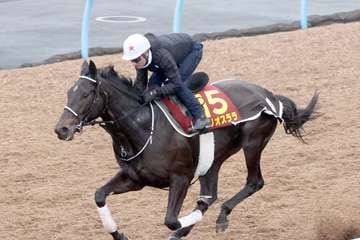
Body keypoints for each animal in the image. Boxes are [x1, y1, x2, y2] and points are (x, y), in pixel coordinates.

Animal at [54, 60, 320, 240]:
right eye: (68, 93)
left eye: (87, 94)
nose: (61, 129)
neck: (143, 126)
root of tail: (270, 96)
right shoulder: (135, 178)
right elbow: (99, 195)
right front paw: (119, 234)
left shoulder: (180, 178)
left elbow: (171, 220)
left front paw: (179, 229)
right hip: (214, 159)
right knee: (210, 195)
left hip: (252, 143)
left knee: (253, 182)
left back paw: (220, 218)